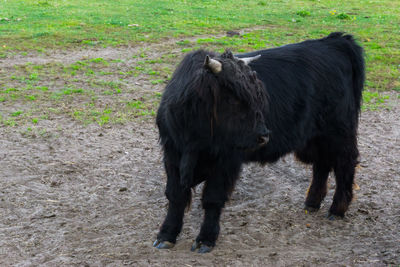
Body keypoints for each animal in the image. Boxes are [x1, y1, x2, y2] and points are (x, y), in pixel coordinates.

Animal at [153, 32, 366, 254]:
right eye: (233, 99)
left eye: (257, 95)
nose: (264, 136)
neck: (193, 139)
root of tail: (334, 41)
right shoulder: (172, 155)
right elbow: (176, 196)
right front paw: (166, 235)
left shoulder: (226, 160)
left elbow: (212, 198)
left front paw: (206, 239)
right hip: (317, 136)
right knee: (322, 164)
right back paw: (312, 202)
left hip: (340, 132)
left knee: (345, 164)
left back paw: (337, 209)